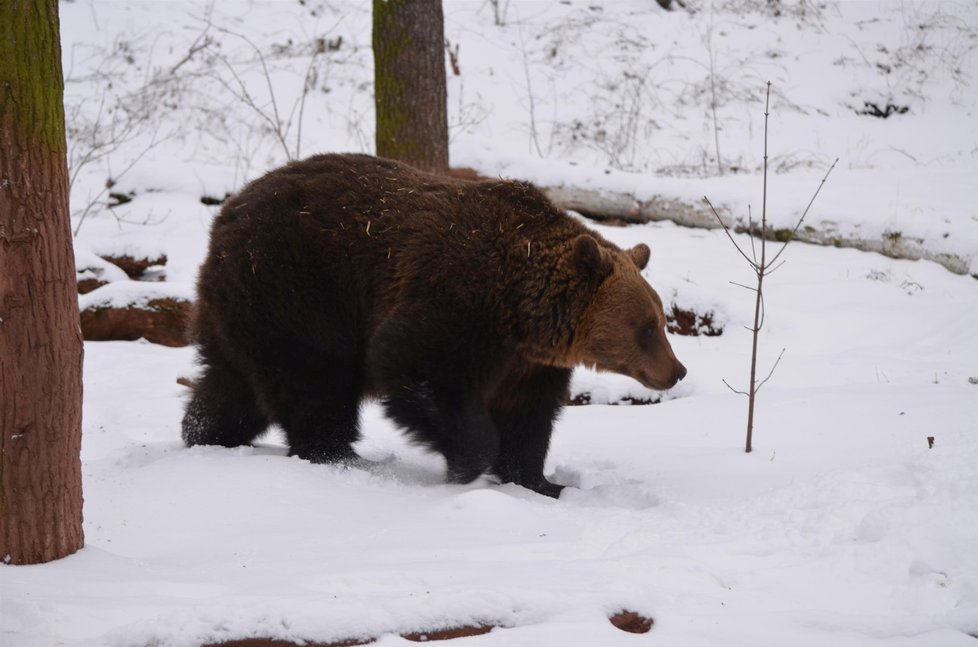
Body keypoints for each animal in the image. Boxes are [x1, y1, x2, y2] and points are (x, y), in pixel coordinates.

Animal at [185, 154, 688, 498]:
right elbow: (413, 366)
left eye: (660, 321)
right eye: (647, 327)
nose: (677, 371)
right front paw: (467, 465)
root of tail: (224, 215)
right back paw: (339, 455)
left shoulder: (526, 363)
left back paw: (205, 435)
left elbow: (528, 418)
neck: (524, 313)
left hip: (242, 309)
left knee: (232, 384)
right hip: (299, 290)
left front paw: (543, 483)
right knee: (316, 381)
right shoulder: (459, 304)